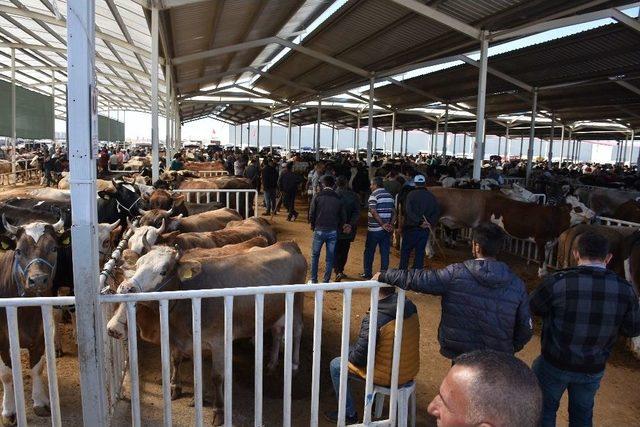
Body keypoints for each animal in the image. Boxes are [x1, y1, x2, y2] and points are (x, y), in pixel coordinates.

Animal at [0, 217, 69, 424]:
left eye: (53, 248)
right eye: (18, 250)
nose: (38, 280)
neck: (26, 311)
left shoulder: (40, 337)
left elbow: (37, 368)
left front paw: (39, 401)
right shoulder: (2, 341)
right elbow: (6, 375)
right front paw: (9, 410)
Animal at [106, 242, 306, 426]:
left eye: (163, 271)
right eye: (139, 264)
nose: (126, 287)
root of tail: (288, 244)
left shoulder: (218, 342)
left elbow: (216, 376)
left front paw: (218, 410)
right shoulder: (182, 339)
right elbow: (178, 362)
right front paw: (177, 388)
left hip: (296, 303)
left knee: (296, 331)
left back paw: (294, 366)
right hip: (277, 310)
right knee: (277, 331)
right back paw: (271, 364)